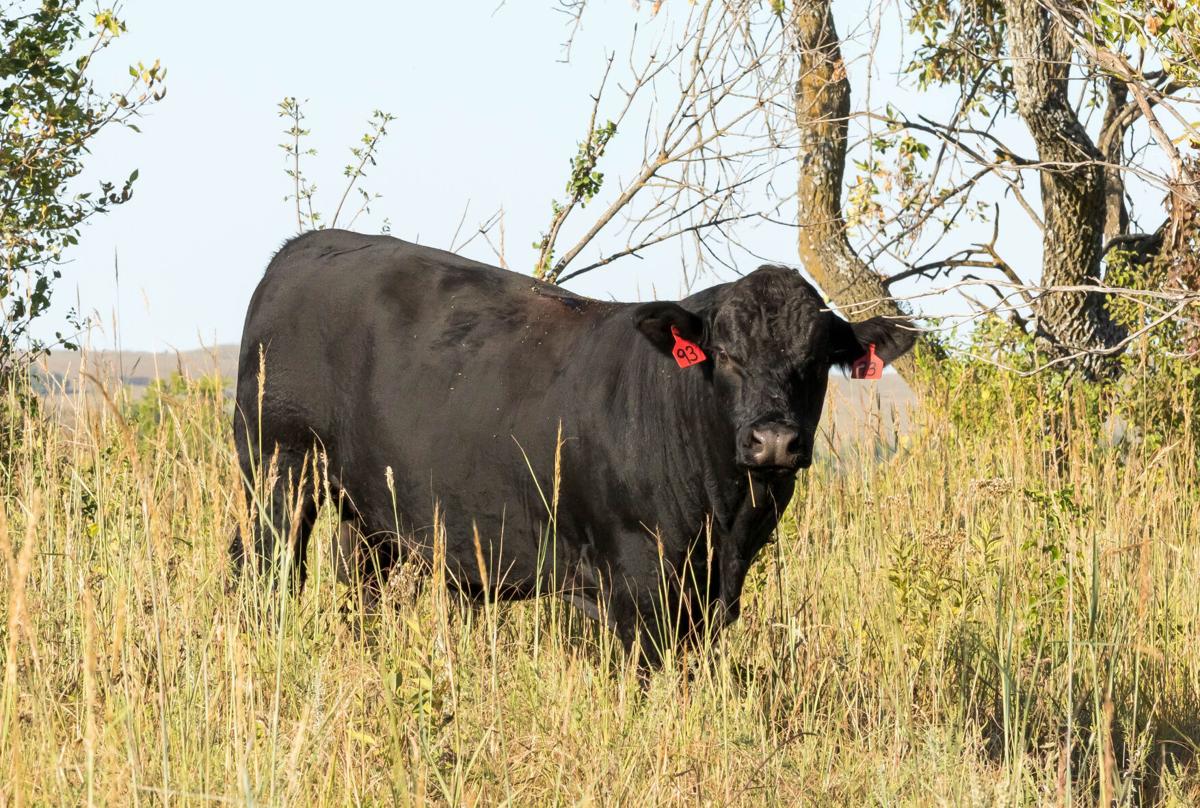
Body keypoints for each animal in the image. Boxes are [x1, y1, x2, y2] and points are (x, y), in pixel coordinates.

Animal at [230, 229, 915, 663]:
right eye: (725, 354)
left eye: (817, 361)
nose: (773, 439)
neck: (726, 517)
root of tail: (299, 250)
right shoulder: (641, 584)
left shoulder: (711, 592)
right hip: (279, 471)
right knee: (264, 574)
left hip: (369, 510)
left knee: (358, 586)